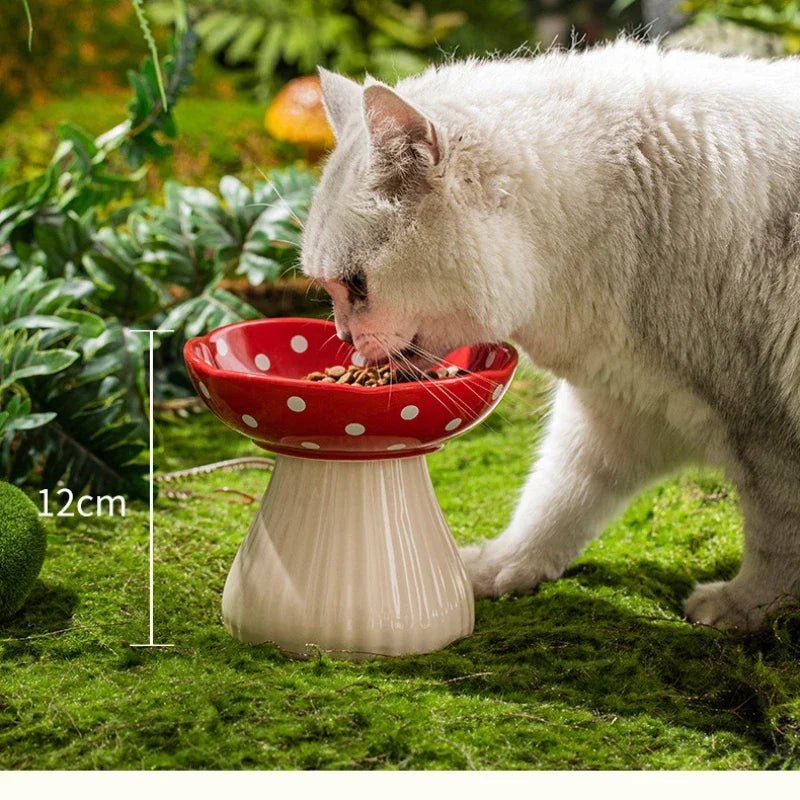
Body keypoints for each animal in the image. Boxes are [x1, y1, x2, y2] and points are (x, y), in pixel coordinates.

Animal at [302, 40, 800, 632]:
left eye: (356, 284)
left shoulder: (766, 431)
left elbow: (776, 542)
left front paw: (747, 608)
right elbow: (556, 502)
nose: (343, 337)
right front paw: (498, 568)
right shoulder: (615, 411)